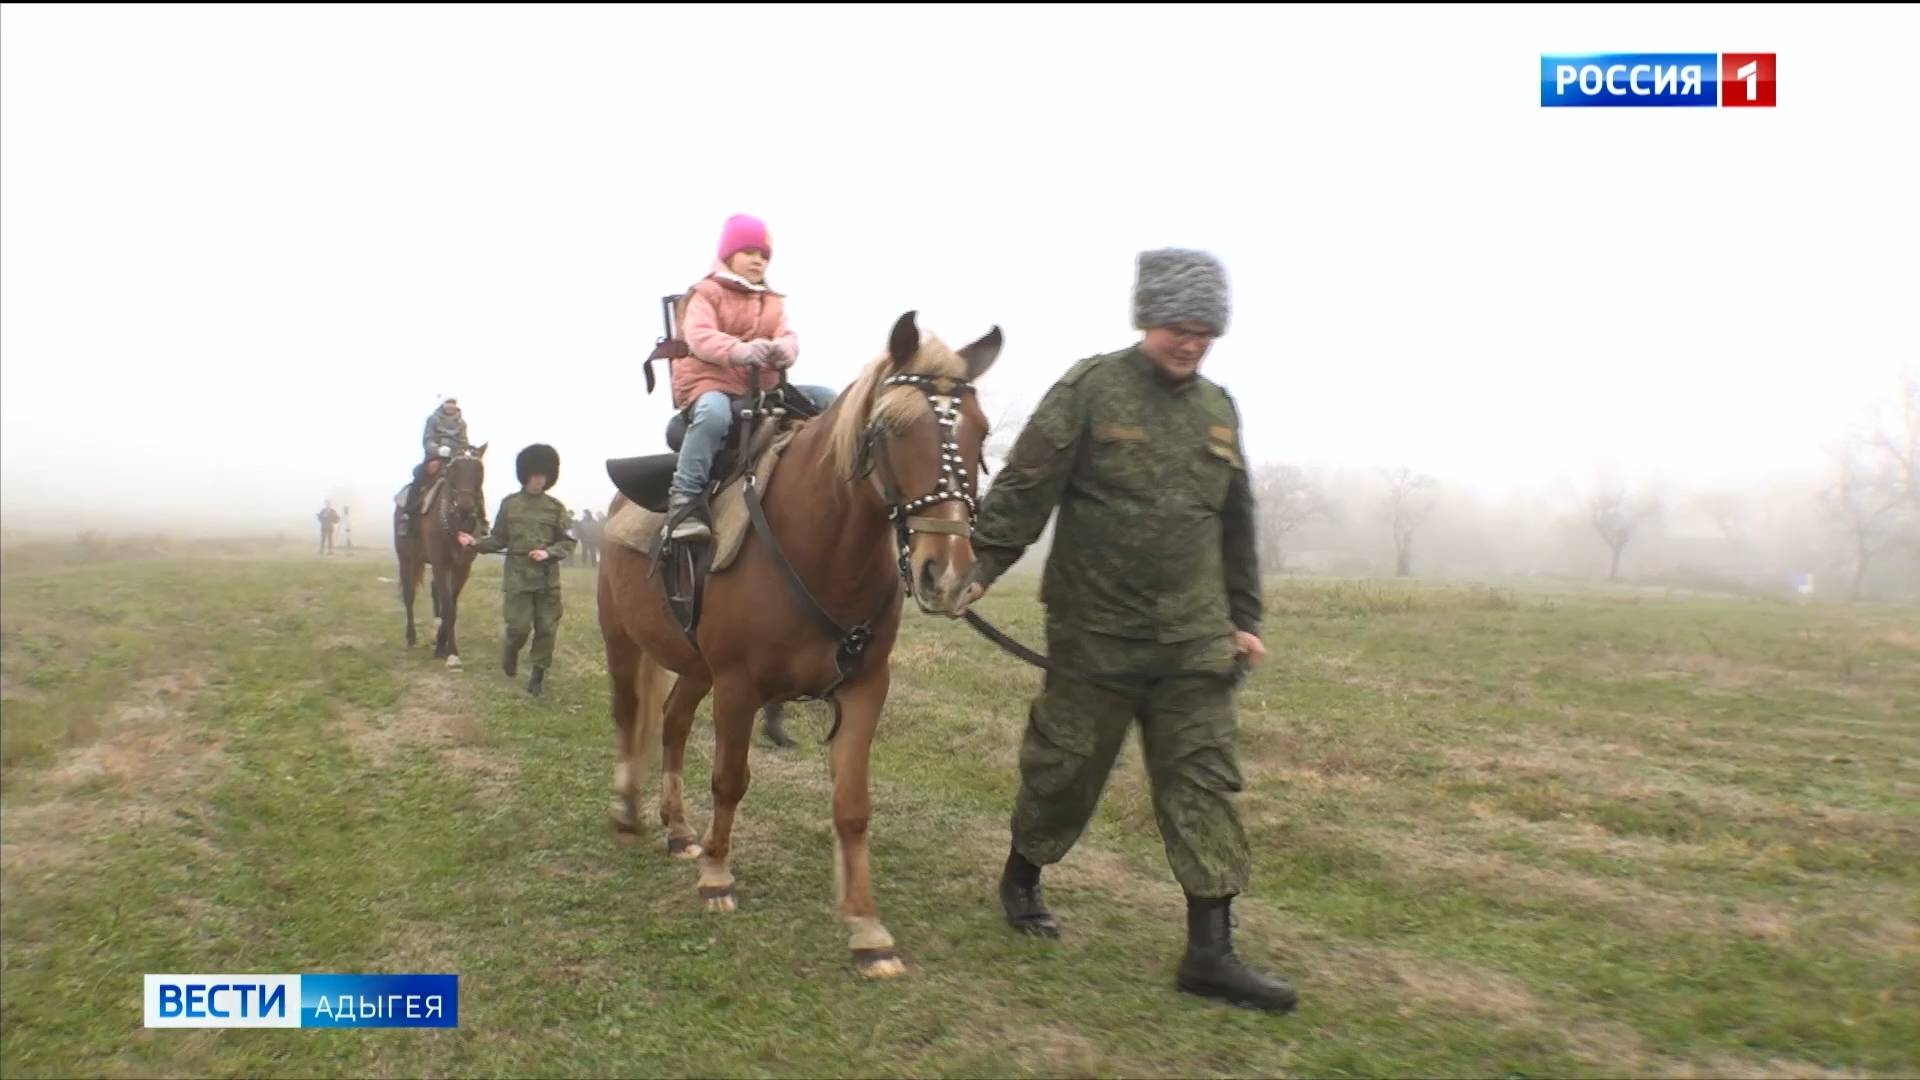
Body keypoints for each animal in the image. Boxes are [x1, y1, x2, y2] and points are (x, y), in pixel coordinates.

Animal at [393, 440, 487, 661]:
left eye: (480, 470)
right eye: (453, 469)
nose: (465, 508)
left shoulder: (462, 568)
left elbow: (450, 605)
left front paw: (442, 643)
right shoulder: (440, 564)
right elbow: (449, 608)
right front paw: (450, 651)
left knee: (436, 593)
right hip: (406, 557)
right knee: (409, 595)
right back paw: (411, 637)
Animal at [595, 311, 1006, 976]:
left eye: (981, 431)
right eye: (891, 430)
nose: (946, 574)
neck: (820, 549)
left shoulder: (865, 688)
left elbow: (853, 806)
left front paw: (866, 927)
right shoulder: (739, 685)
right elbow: (730, 779)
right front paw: (718, 876)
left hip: (696, 668)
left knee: (673, 723)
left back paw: (679, 830)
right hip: (624, 643)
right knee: (630, 716)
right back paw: (627, 813)